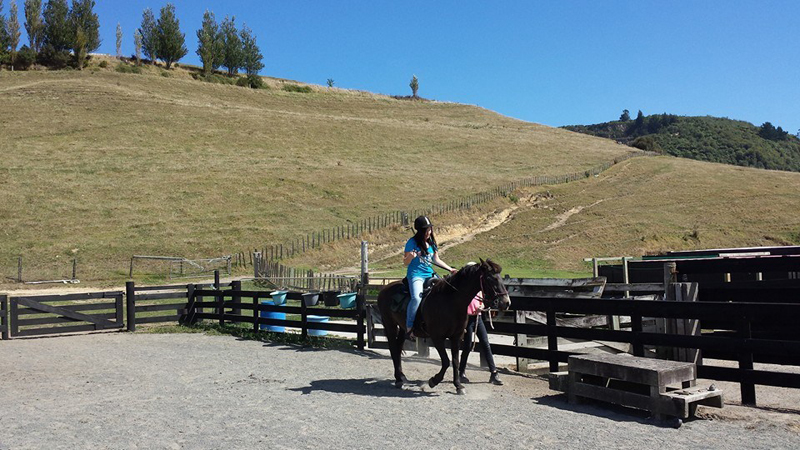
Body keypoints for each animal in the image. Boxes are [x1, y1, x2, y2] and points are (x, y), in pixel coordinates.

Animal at [376, 260, 512, 394]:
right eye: (490, 278)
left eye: (500, 277)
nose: (506, 302)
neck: (450, 302)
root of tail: (384, 289)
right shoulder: (437, 337)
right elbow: (446, 361)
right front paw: (434, 380)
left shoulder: (456, 337)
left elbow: (455, 361)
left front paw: (458, 385)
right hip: (390, 325)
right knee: (393, 349)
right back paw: (399, 379)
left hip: (403, 328)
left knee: (398, 348)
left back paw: (402, 376)